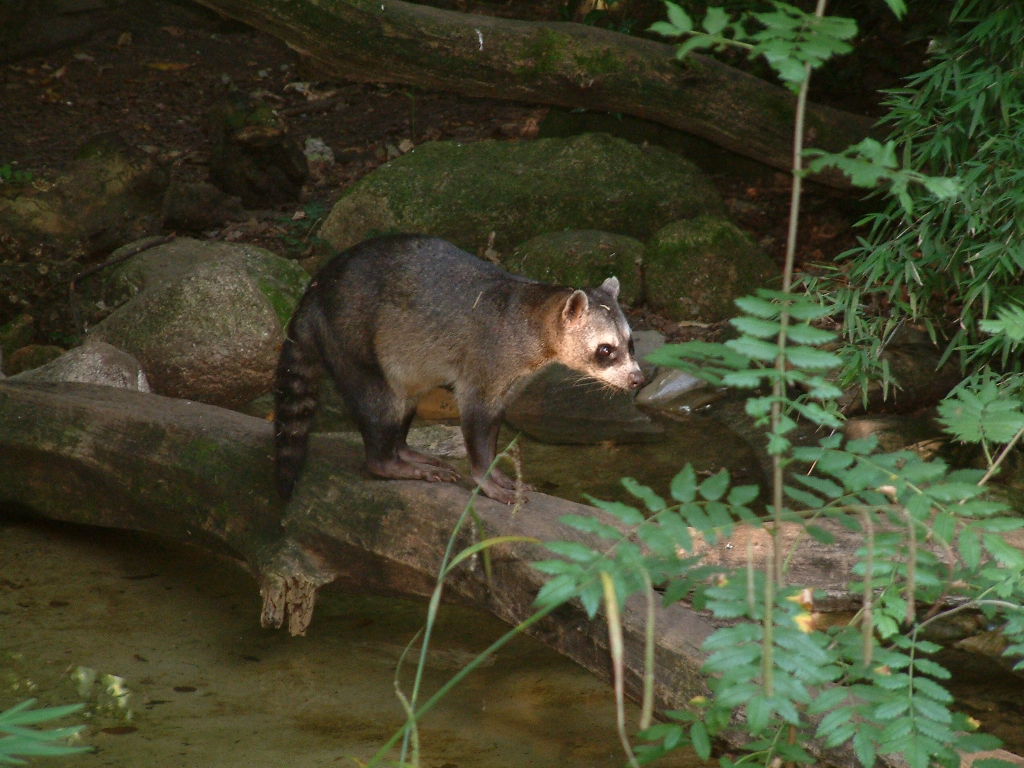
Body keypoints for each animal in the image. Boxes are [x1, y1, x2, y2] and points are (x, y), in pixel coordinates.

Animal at [274, 234, 644, 504]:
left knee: (405, 398)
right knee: (381, 403)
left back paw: (402, 448)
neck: (537, 316)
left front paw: (496, 471)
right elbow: (476, 422)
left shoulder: (511, 379)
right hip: (350, 338)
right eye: (605, 350)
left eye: (631, 343)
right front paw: (484, 479)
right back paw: (387, 461)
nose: (637, 379)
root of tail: (315, 288)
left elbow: (494, 426)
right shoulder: (486, 363)